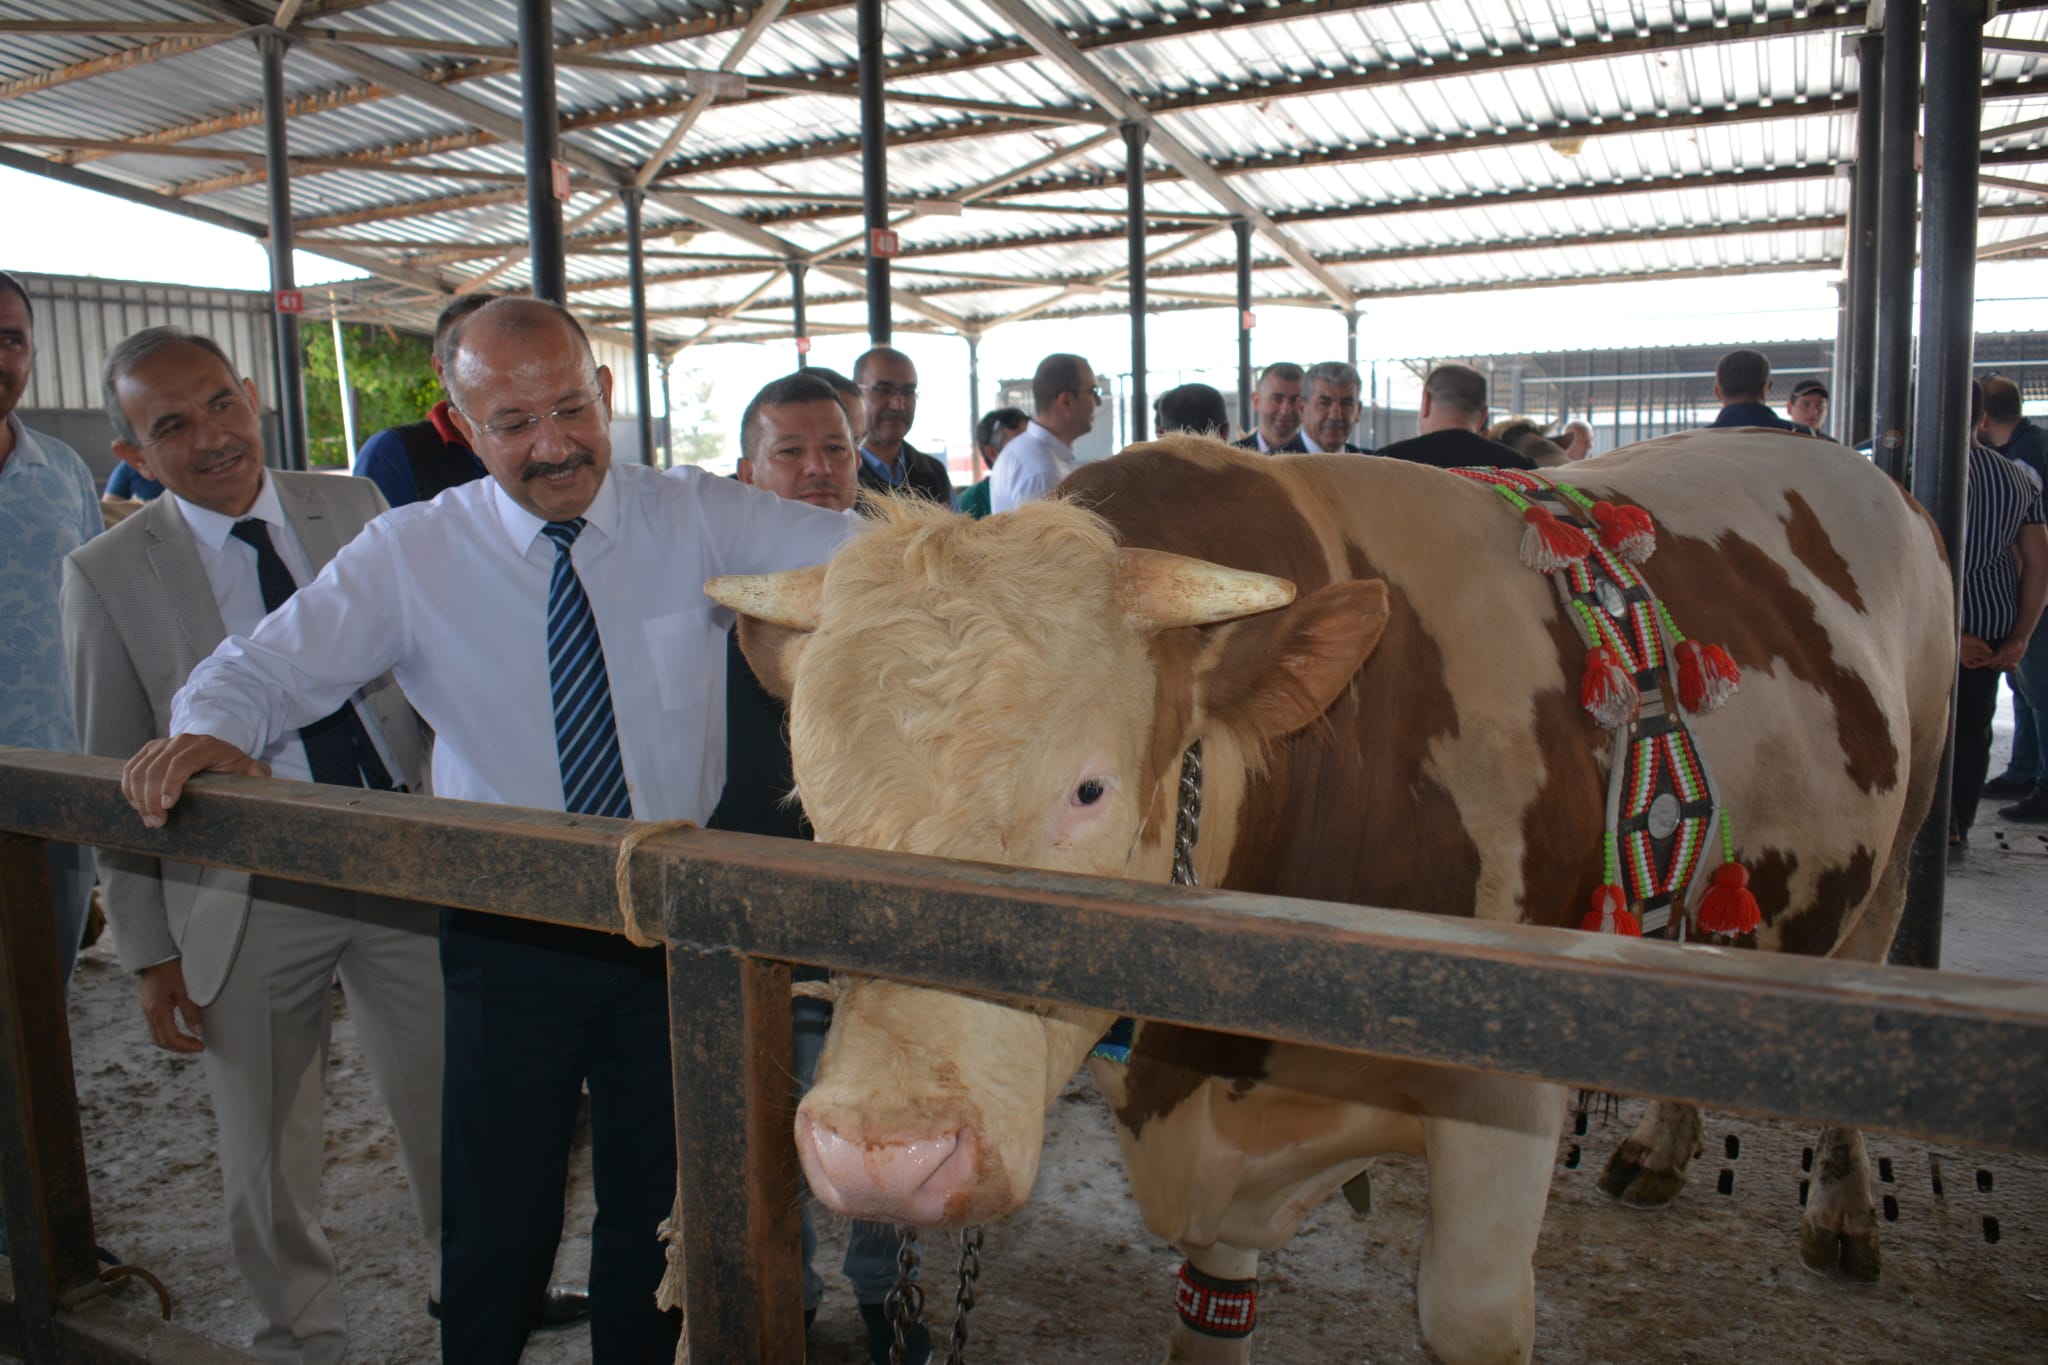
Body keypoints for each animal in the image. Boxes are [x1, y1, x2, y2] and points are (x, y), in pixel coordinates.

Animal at [704, 435, 1949, 1365]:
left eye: (1088, 788)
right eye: (808, 795)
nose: (880, 1156)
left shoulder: (1504, 1104)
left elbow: (1468, 1317)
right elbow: (1209, 1318)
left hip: (1896, 850)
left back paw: (1841, 1207)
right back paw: (1660, 1145)